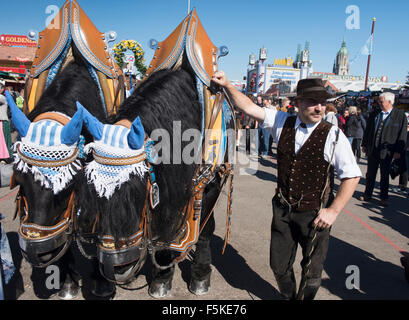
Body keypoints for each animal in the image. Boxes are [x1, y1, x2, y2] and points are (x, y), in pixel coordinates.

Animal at [76, 62, 226, 298]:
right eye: (92, 195)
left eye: (136, 195)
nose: (112, 267)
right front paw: (162, 278)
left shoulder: (210, 185)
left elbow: (204, 231)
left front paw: (200, 276)